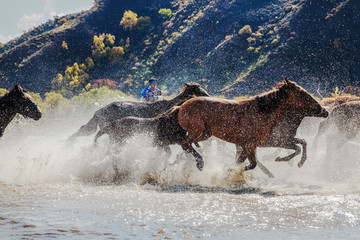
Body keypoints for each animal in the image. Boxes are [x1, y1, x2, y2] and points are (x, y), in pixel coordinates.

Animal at [177, 79, 330, 174]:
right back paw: (199, 162)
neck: (262, 112)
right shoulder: (251, 145)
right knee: (185, 143)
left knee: (186, 144)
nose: (324, 110)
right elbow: (250, 164)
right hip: (198, 132)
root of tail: (182, 107)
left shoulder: (249, 145)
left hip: (206, 134)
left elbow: (242, 163)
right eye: (302, 93)